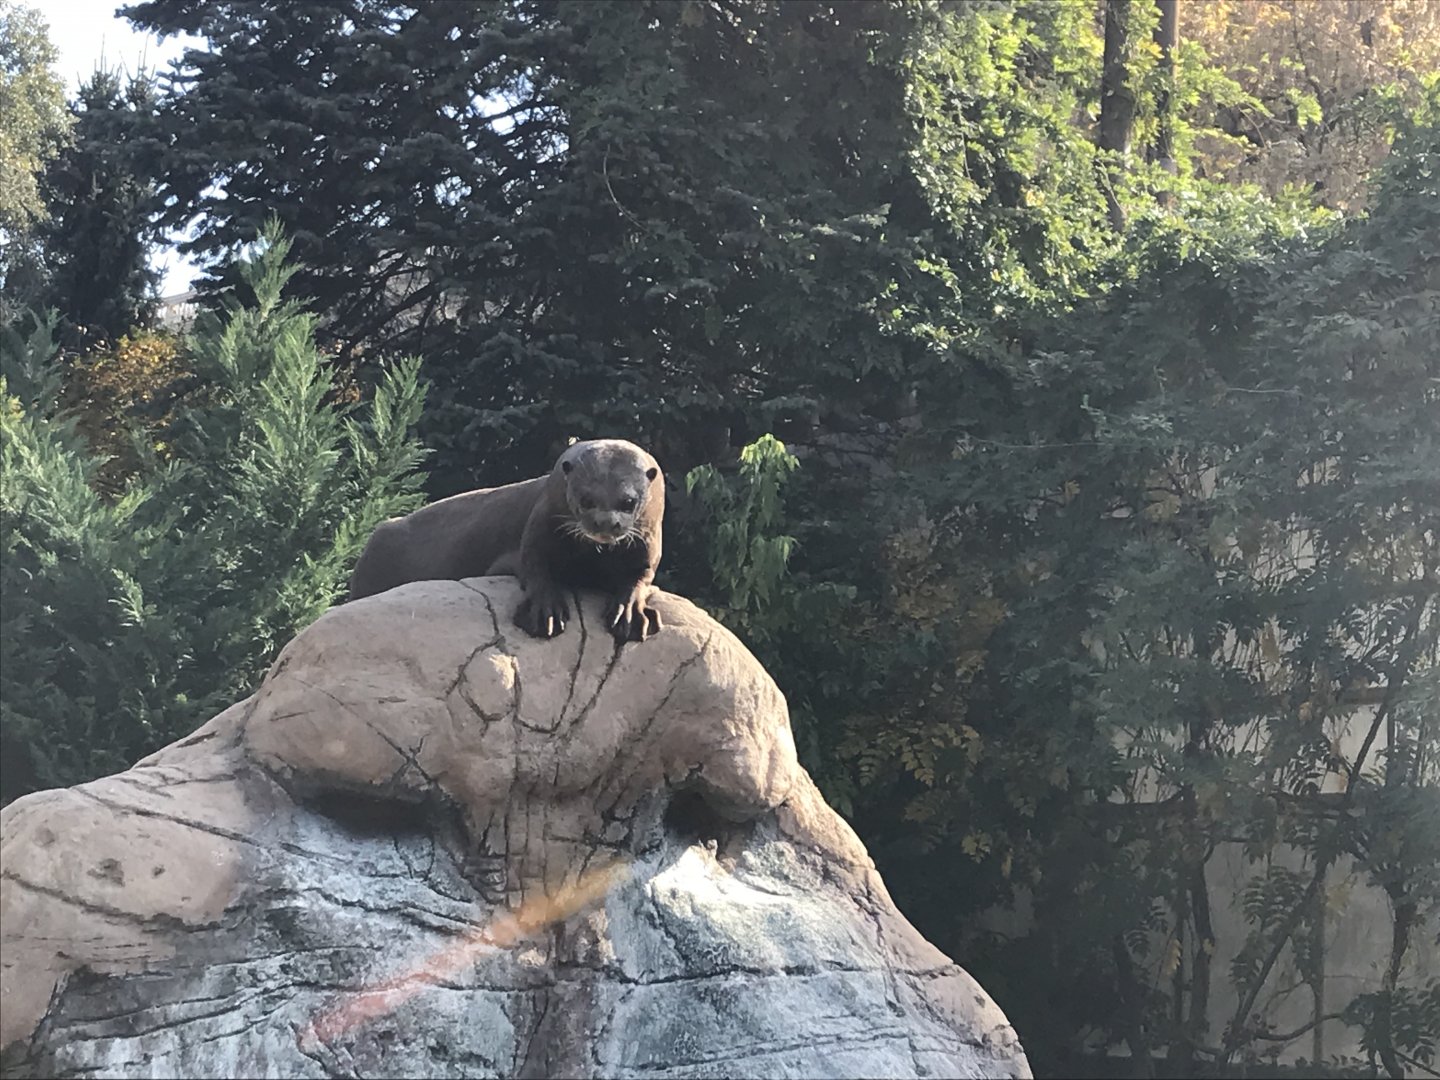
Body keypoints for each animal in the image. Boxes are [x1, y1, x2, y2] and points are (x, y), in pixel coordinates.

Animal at [347, 440, 664, 642]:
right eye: (586, 499)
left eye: (628, 501)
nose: (605, 523)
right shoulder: (537, 528)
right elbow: (534, 567)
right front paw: (545, 613)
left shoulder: (648, 545)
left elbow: (639, 579)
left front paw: (628, 615)